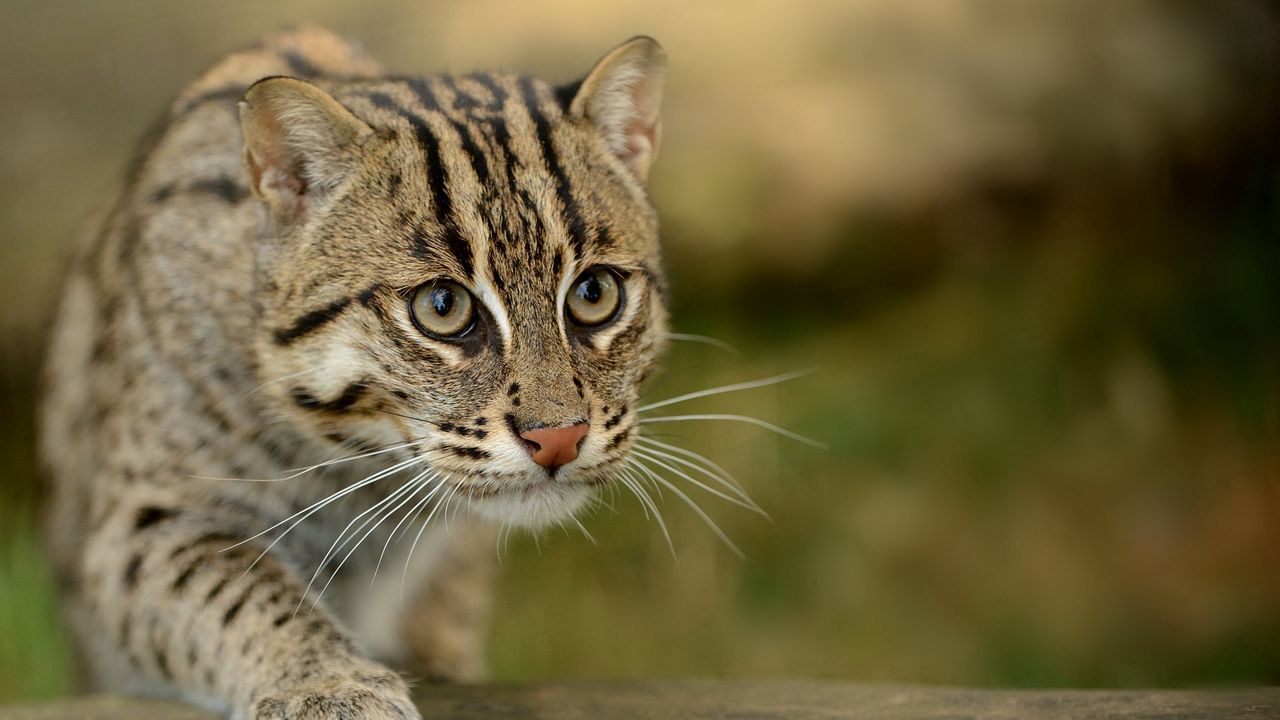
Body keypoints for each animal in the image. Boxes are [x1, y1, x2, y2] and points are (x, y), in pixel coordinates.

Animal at [42, 25, 670, 712]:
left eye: (595, 293)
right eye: (442, 306)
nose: (559, 439)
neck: (357, 464)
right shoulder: (140, 522)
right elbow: (241, 591)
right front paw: (326, 683)